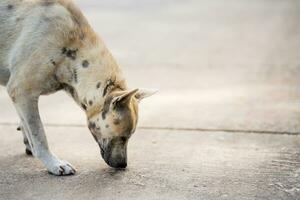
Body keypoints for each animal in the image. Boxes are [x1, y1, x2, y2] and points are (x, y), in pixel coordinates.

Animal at [0, 0, 155, 175]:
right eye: (123, 136)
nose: (123, 165)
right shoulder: (23, 91)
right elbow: (39, 134)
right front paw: (53, 163)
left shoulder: (21, 97)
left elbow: (26, 124)